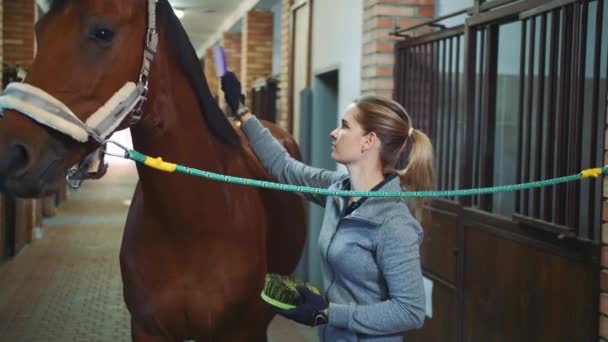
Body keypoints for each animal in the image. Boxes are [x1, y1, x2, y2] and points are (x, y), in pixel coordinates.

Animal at [0, 1, 306, 340]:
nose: (10, 155)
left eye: (103, 32)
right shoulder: (147, 329)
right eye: (39, 31)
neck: (190, 226)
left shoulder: (239, 332)